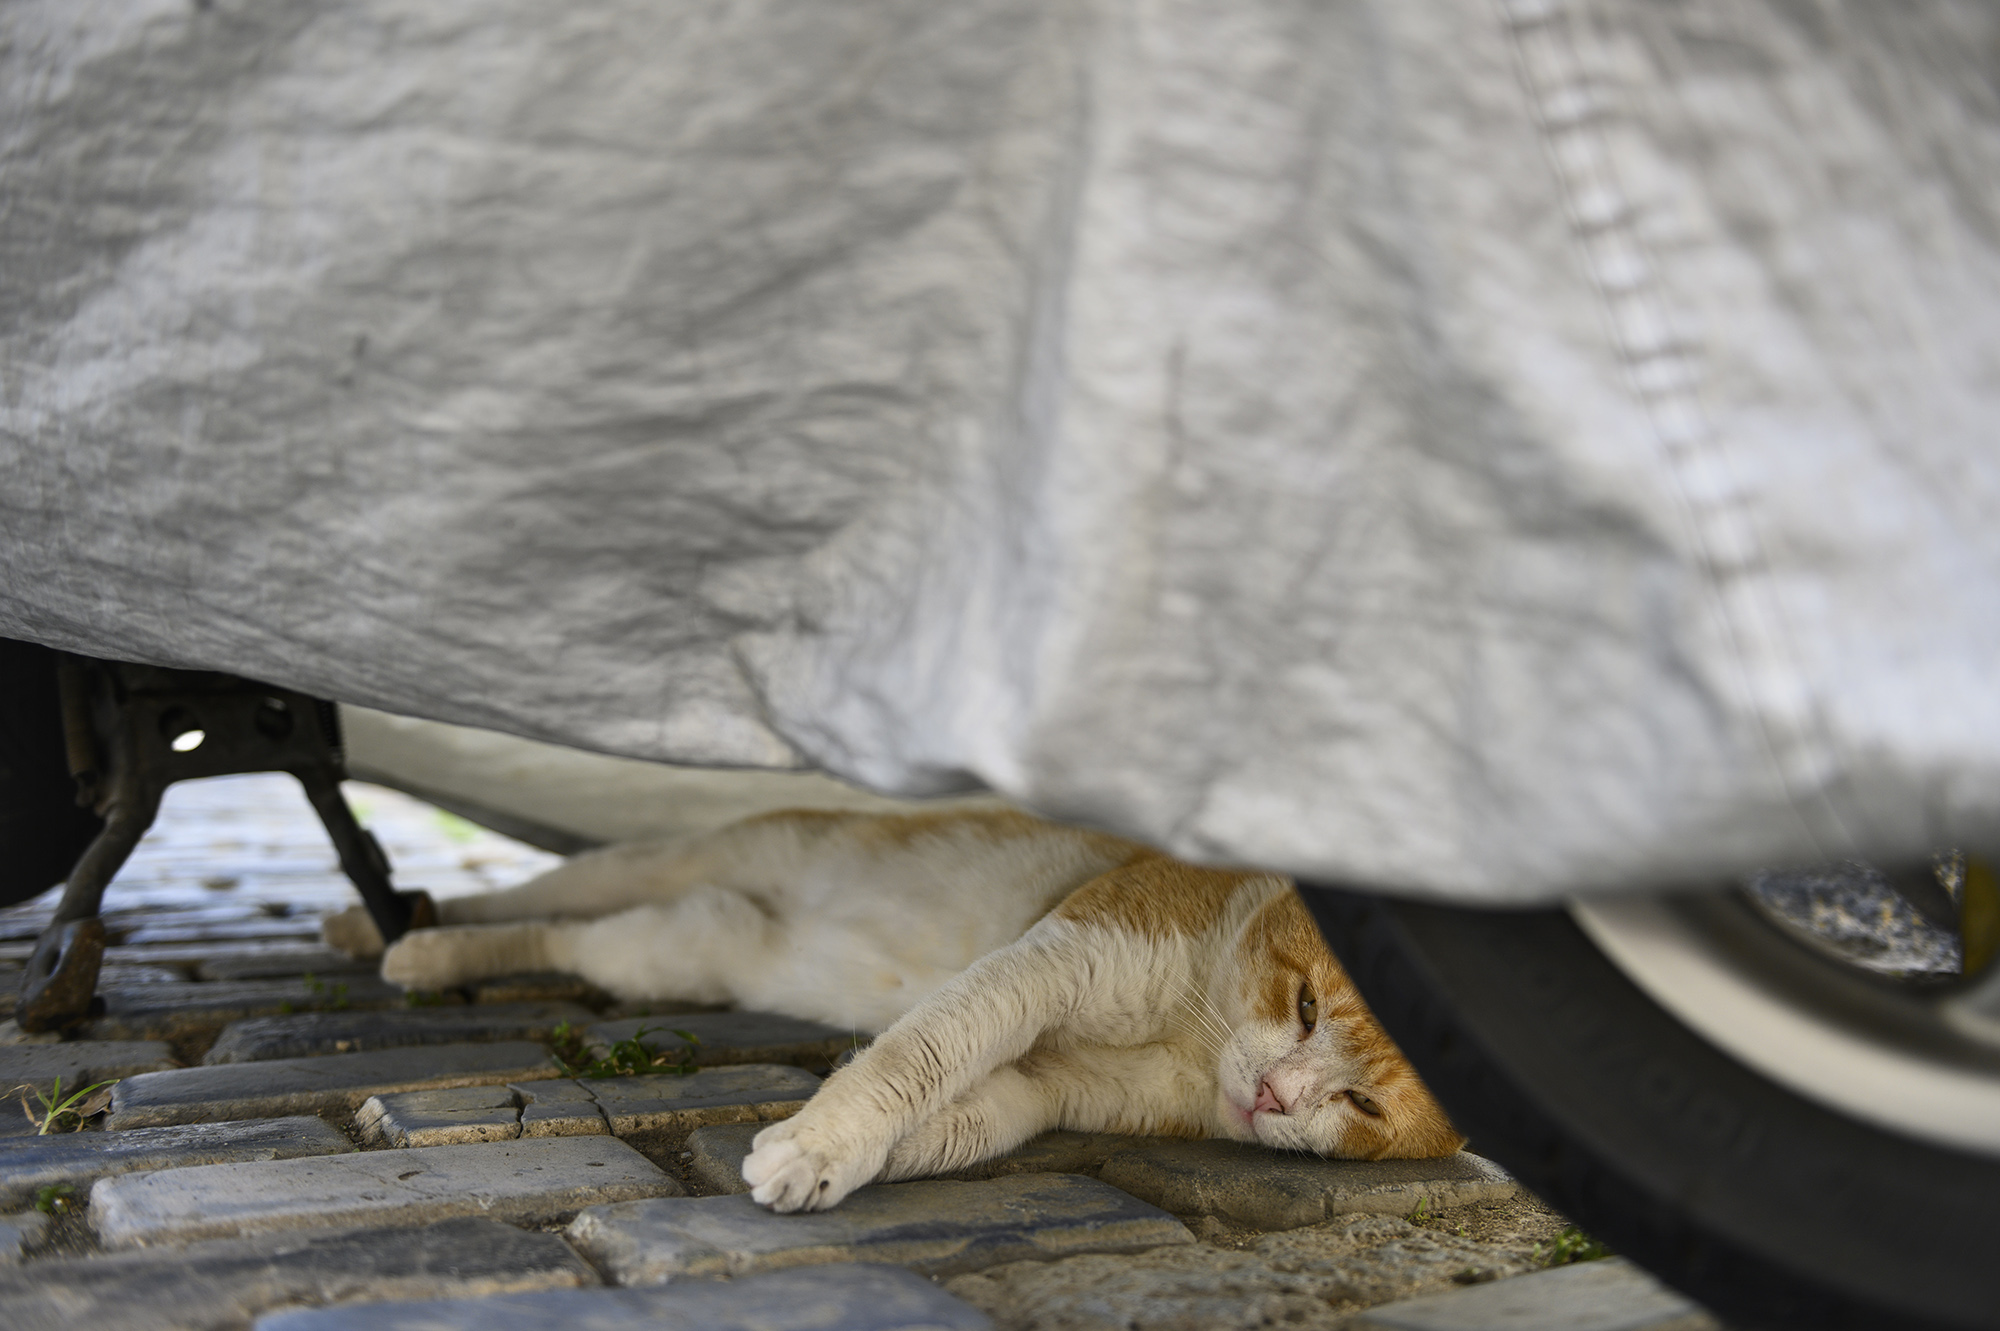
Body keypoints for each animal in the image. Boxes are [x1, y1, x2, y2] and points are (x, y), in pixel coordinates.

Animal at [332, 803, 1472, 1207]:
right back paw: (399, 936)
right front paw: (814, 1139)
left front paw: (834, 1158)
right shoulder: (1053, 961)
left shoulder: (1039, 1088)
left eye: (1363, 1106)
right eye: (1307, 1002)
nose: (1278, 1095)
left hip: (678, 942)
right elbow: (918, 1053)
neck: (1192, 1043)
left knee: (570, 938)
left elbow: (954, 1114)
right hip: (673, 862)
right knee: (528, 902)